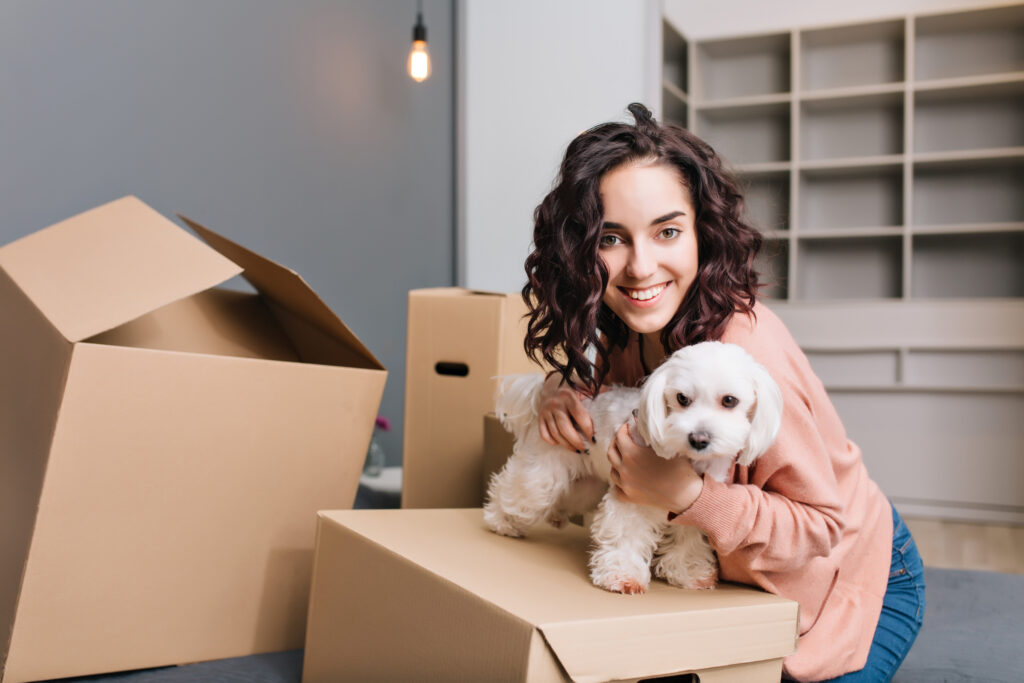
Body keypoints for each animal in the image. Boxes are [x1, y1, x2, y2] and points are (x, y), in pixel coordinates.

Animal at [483, 342, 778, 593]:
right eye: (682, 398)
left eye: (729, 400)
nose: (698, 438)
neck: (685, 460)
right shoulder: (630, 494)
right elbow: (626, 533)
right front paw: (623, 575)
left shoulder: (692, 502)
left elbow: (689, 537)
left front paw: (689, 571)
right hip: (543, 473)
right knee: (519, 491)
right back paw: (500, 521)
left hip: (587, 487)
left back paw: (555, 516)